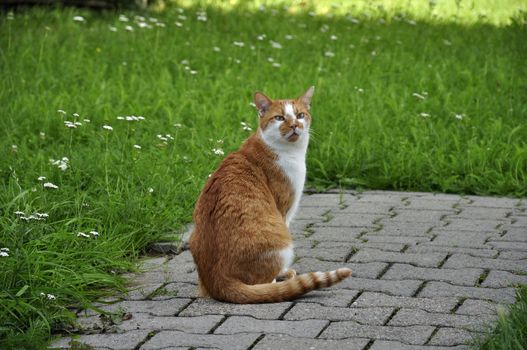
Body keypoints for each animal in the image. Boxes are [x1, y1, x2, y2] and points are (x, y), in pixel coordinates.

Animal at [188, 86, 352, 302]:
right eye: (280, 118)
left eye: (300, 115)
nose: (294, 125)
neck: (286, 152)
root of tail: (218, 280)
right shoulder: (284, 210)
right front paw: (284, 273)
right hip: (282, 240)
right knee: (264, 283)